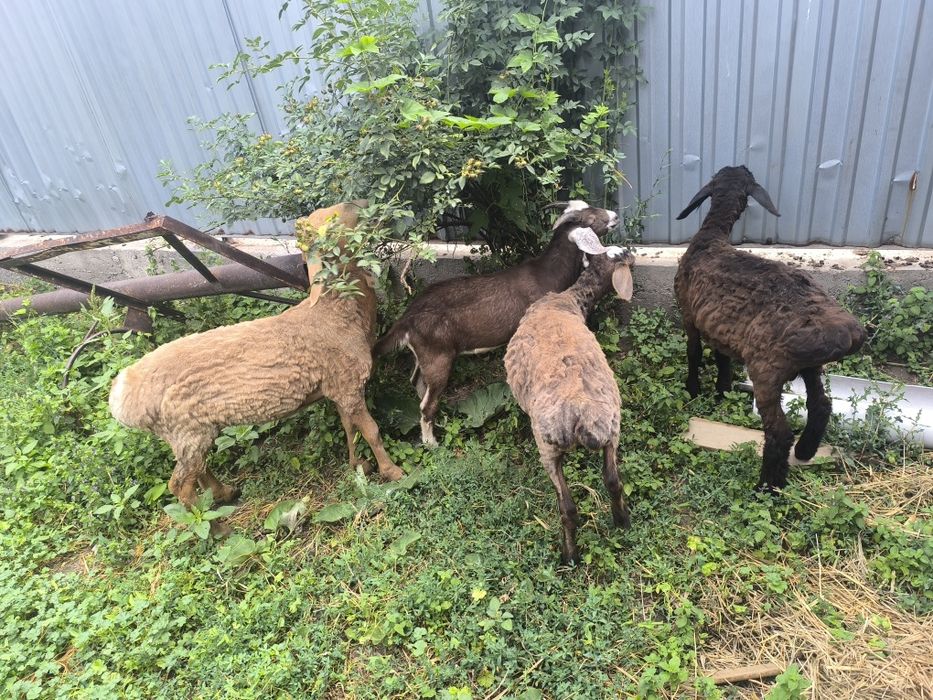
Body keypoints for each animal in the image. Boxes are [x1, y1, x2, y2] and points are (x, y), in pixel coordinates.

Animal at [109, 202, 404, 532]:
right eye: (337, 219)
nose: (366, 205)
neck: (333, 311)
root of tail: (124, 395)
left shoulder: (339, 387)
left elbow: (349, 428)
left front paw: (358, 466)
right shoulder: (348, 384)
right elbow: (371, 431)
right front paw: (393, 472)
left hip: (189, 433)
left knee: (198, 469)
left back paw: (223, 493)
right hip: (184, 429)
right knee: (179, 485)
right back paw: (216, 528)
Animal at [374, 200, 620, 447]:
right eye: (590, 219)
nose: (615, 216)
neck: (547, 273)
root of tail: (407, 319)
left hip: (423, 355)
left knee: (417, 382)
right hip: (438, 357)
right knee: (427, 404)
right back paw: (432, 444)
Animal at [504, 229, 635, 565]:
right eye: (617, 253)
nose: (632, 252)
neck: (568, 300)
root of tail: (579, 413)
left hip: (547, 446)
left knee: (567, 508)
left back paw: (570, 557)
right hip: (612, 429)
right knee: (613, 481)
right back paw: (622, 522)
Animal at [674, 165, 866, 491]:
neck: (710, 238)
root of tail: (847, 332)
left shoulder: (690, 316)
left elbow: (694, 353)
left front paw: (693, 390)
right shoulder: (720, 327)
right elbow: (722, 359)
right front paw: (722, 391)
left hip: (767, 369)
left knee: (779, 433)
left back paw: (767, 487)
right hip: (809, 365)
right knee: (821, 404)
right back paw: (805, 451)